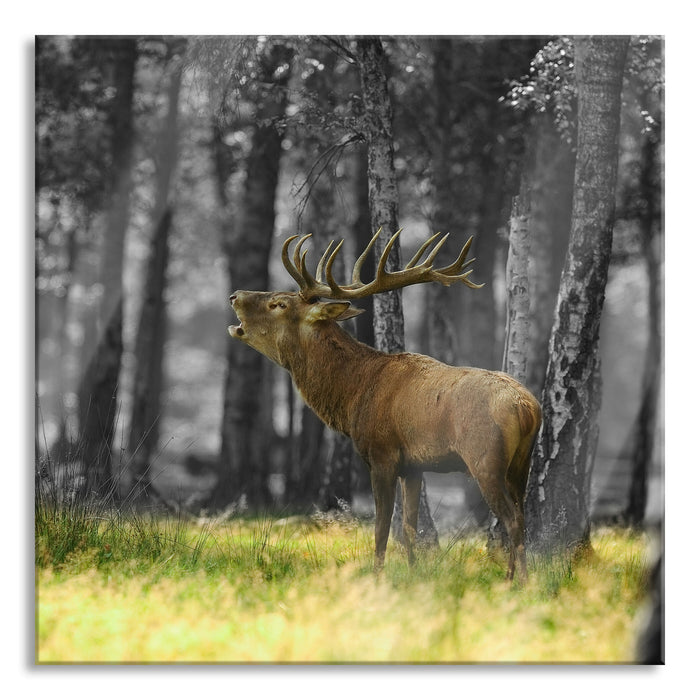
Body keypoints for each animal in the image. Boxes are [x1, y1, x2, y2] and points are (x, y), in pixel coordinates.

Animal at [228, 229, 542, 583]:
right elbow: (409, 528)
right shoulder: (414, 466)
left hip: (485, 458)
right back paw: (512, 577)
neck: (353, 397)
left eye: (279, 303)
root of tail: (527, 408)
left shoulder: (382, 454)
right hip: (522, 463)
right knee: (521, 516)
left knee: (512, 519)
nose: (235, 295)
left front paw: (377, 578)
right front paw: (414, 574)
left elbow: (381, 529)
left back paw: (520, 582)